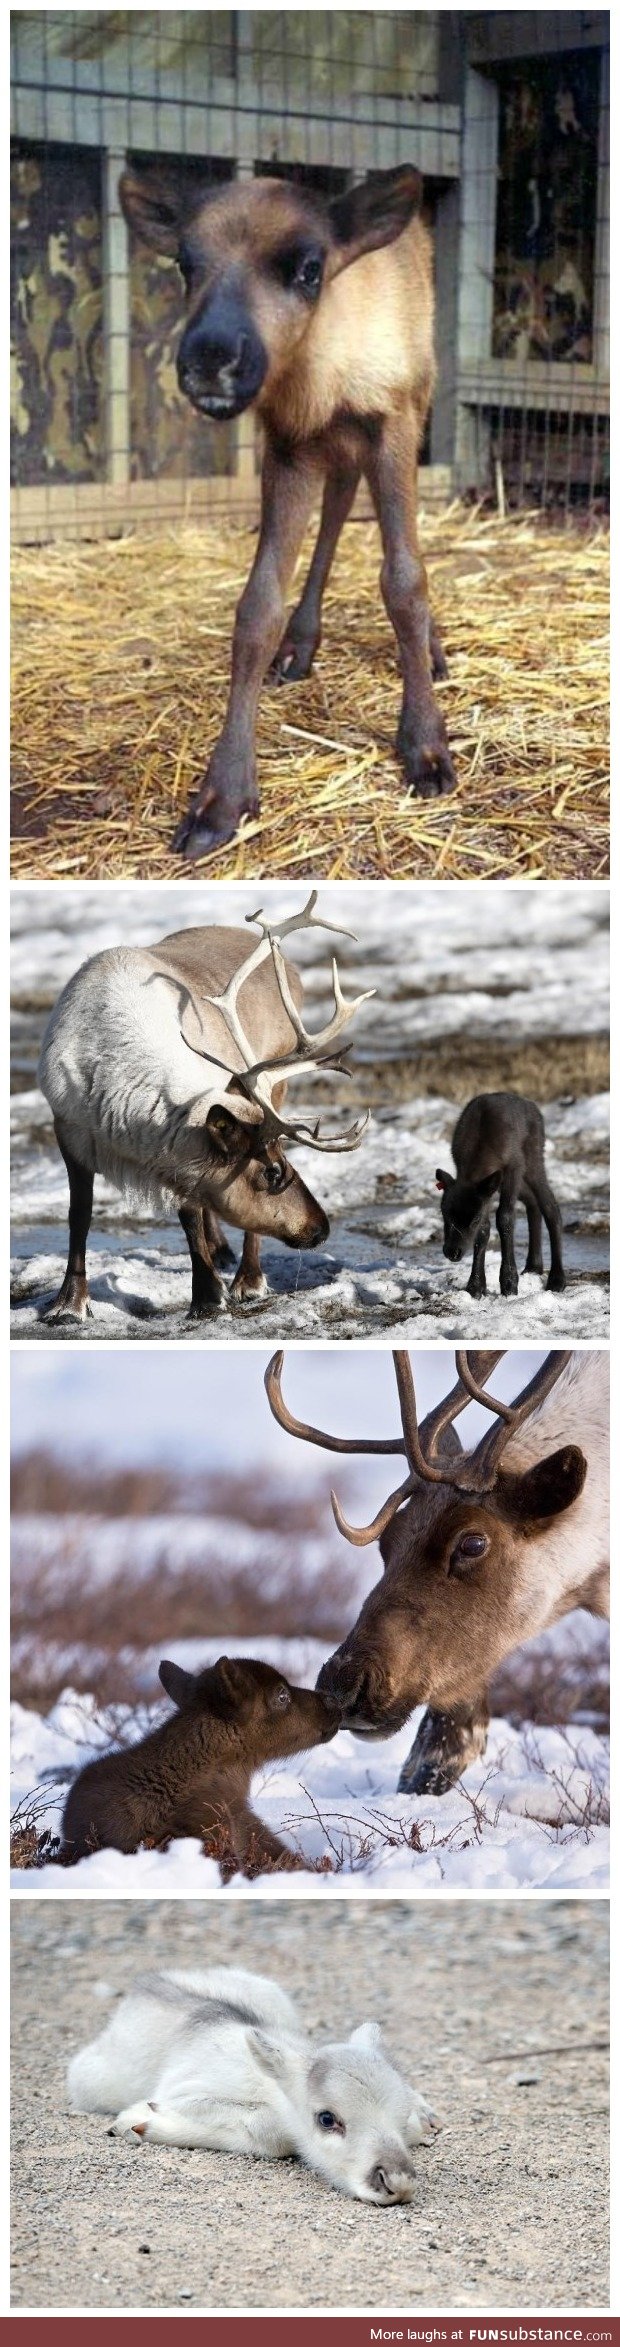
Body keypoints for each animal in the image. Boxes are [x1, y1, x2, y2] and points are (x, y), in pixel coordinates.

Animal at [68, 1962, 441, 2196]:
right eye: (326, 2119)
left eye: (398, 2114)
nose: (398, 2183)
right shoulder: (187, 2091)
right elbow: (271, 2131)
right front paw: (138, 2120)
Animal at [434, 1093, 563, 1304]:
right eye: (445, 1214)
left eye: (474, 1219)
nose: (452, 1252)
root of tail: (532, 1106)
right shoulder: (485, 1190)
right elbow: (484, 1230)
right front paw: (475, 1287)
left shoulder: (513, 1168)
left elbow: (505, 1218)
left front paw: (509, 1284)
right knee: (532, 1201)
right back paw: (533, 1266)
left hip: (533, 1160)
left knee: (551, 1207)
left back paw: (557, 1279)